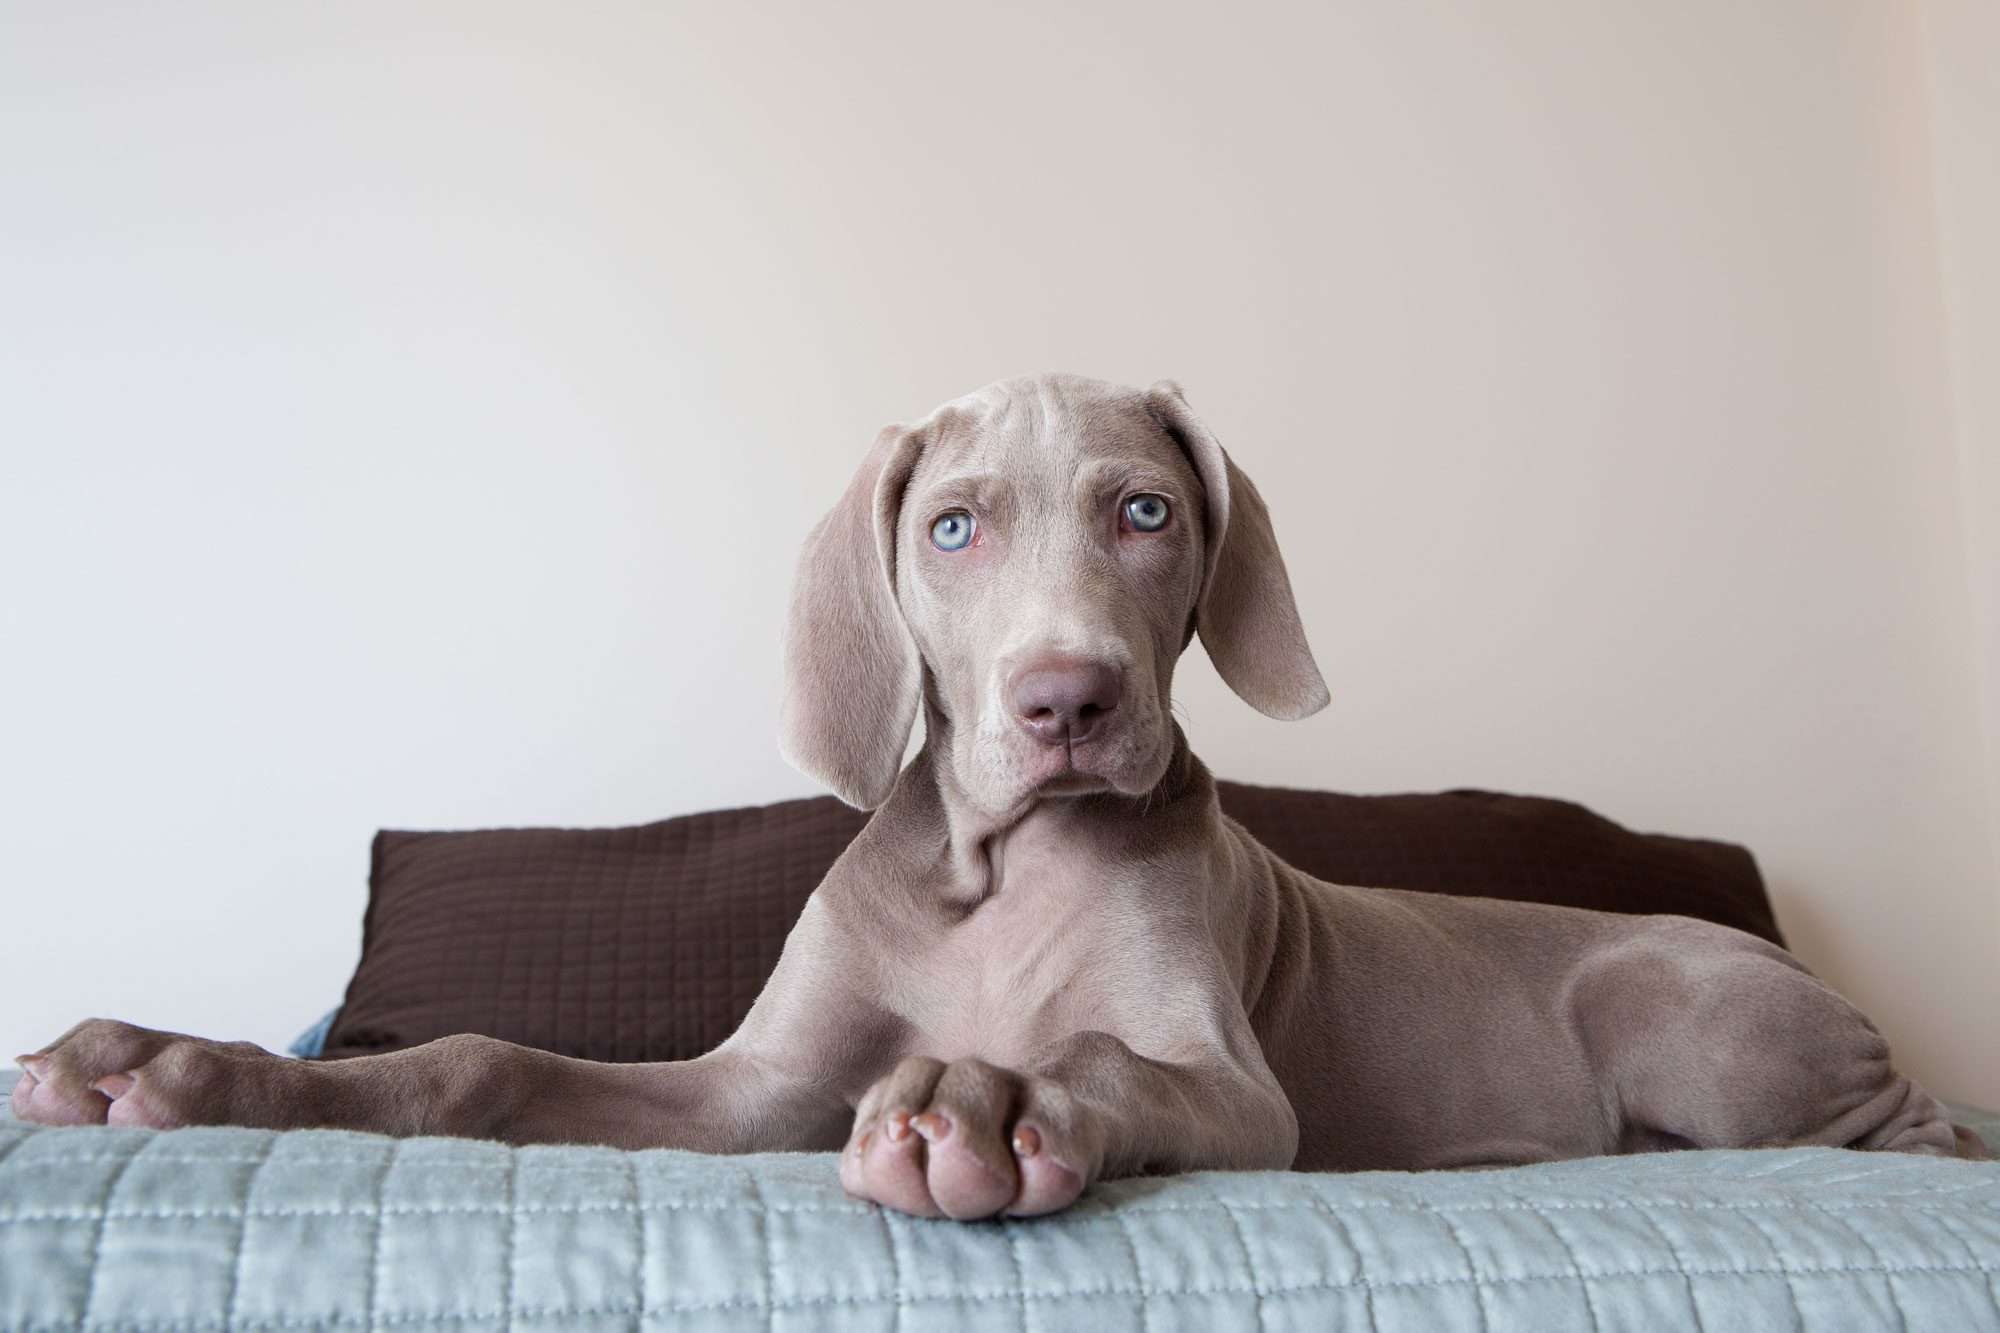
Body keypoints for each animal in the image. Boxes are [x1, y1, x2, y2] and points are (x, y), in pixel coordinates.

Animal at [15, 370, 1984, 1216]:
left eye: (1147, 509)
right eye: (953, 527)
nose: (1067, 701)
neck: (992, 871)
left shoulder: (1233, 1085)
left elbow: (1116, 1057)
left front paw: (1000, 1096)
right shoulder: (750, 1096)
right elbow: (479, 1062)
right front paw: (178, 1067)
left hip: (1684, 1005)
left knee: (1887, 1132)